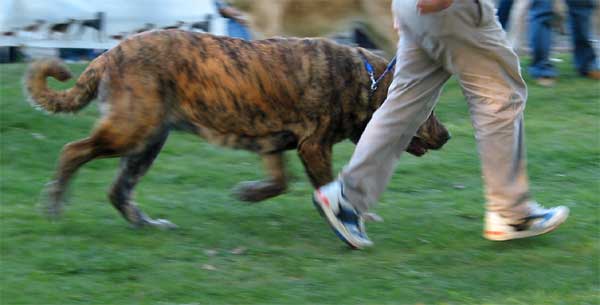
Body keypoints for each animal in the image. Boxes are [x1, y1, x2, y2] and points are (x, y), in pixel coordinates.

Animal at [27, 29, 450, 227]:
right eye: (427, 111)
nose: (447, 134)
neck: (364, 80)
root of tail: (108, 54)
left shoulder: (275, 142)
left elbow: (280, 182)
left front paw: (249, 193)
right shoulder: (314, 146)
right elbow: (328, 184)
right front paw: (350, 214)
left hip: (148, 141)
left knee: (119, 190)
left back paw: (148, 224)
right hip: (131, 129)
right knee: (73, 151)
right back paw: (55, 202)